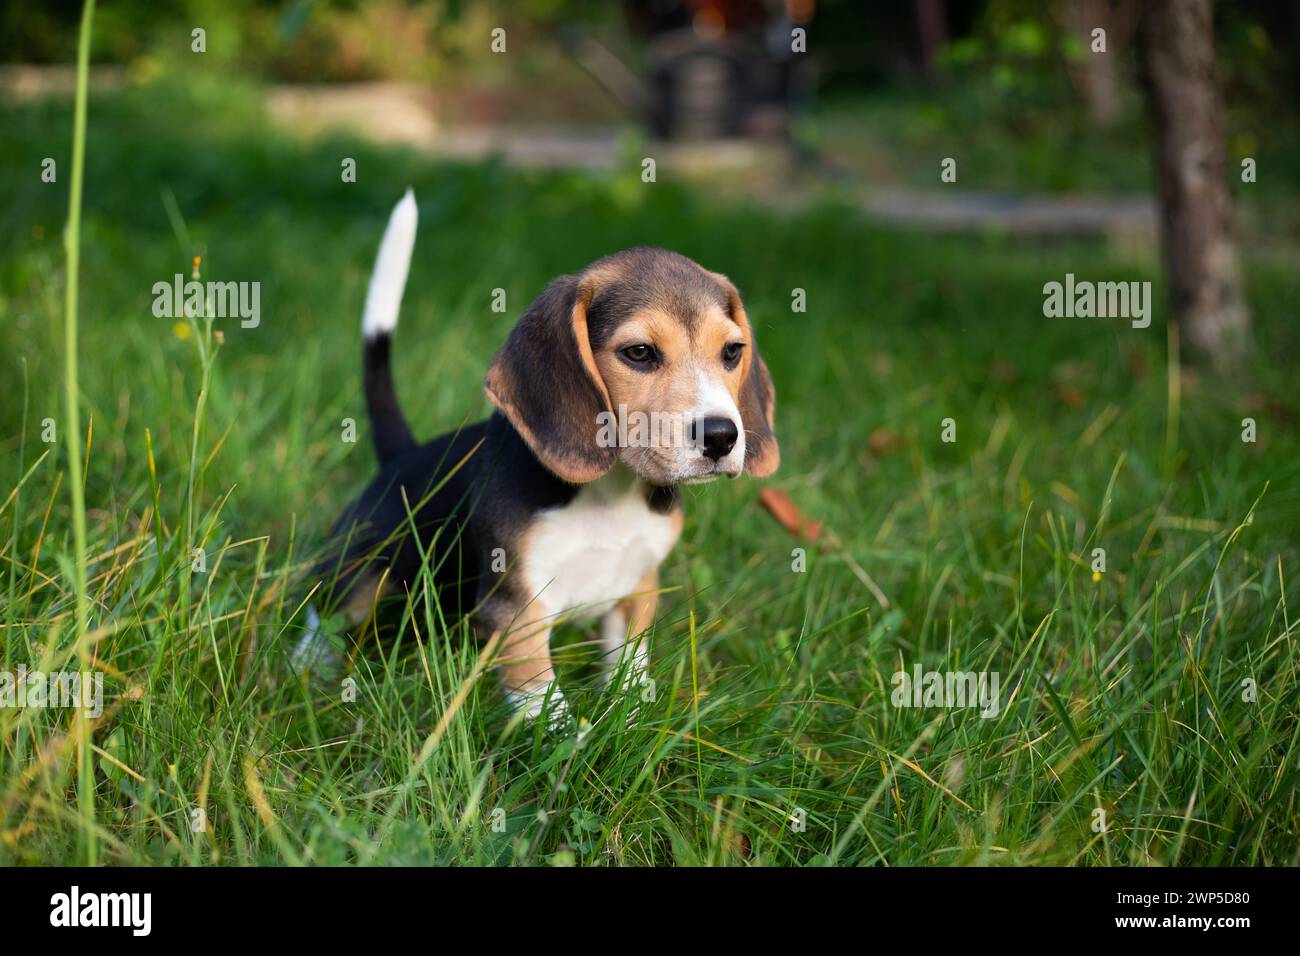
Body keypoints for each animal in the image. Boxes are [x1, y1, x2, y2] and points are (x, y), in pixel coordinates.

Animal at [295, 191, 774, 723]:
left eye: (732, 351)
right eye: (639, 353)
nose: (721, 436)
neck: (611, 493)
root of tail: (404, 455)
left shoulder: (637, 589)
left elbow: (628, 669)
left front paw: (629, 720)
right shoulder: (517, 609)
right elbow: (542, 699)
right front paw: (571, 738)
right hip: (362, 568)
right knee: (325, 607)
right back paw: (306, 666)